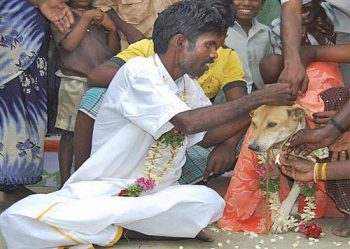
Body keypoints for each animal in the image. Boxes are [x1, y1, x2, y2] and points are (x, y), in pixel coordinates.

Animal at [249, 104, 326, 234]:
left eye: (272, 124)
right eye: (254, 123)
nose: (252, 147)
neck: (280, 146)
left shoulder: (301, 170)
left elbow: (289, 198)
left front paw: (281, 221)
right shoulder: (270, 169)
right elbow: (274, 195)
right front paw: (276, 214)